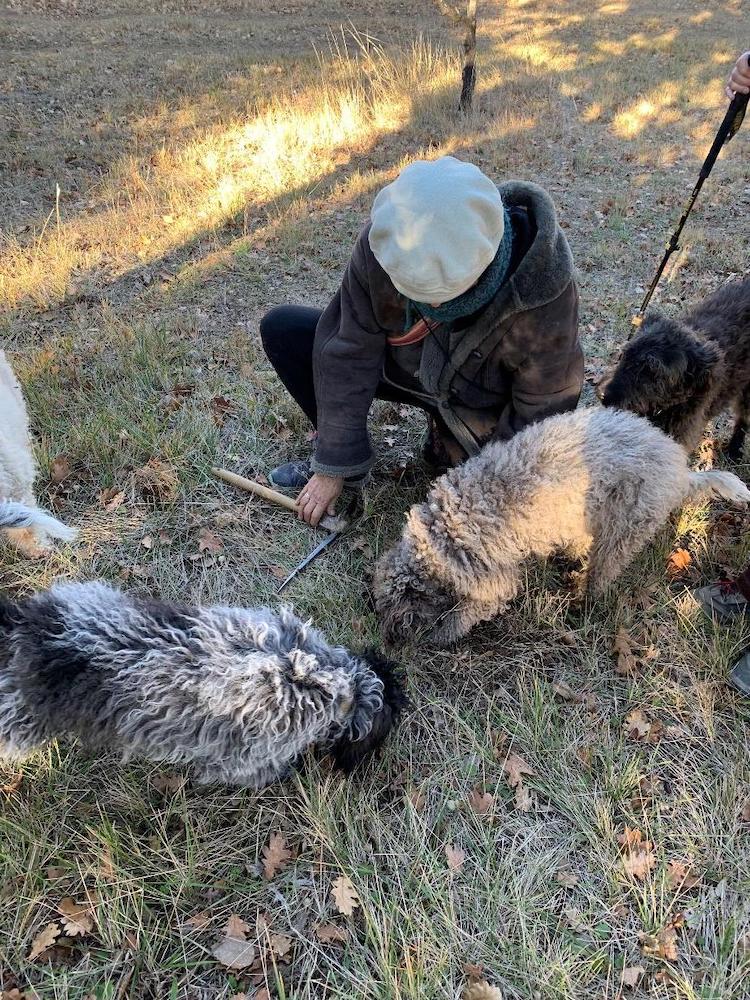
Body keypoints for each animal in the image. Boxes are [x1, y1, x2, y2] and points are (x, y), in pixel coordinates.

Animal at [376, 406, 750, 648]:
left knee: (604, 570)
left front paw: (442, 635)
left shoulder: (493, 582)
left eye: (397, 610)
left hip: (625, 527)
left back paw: (585, 598)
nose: (389, 641)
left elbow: (468, 613)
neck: (439, 536)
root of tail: (679, 467)